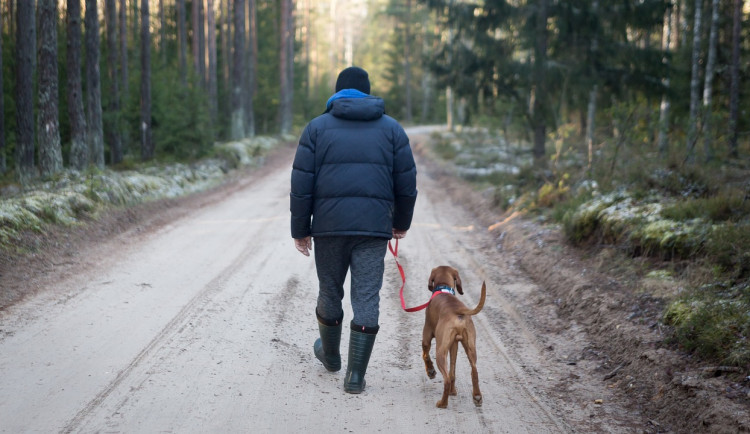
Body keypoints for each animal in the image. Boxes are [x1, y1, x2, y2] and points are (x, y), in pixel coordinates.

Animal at [424, 266, 488, 408]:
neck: (444, 288)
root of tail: (458, 310)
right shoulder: (454, 345)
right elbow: (453, 370)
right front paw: (453, 392)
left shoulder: (426, 335)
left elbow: (425, 355)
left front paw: (430, 371)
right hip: (470, 347)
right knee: (473, 370)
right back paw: (477, 397)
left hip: (441, 351)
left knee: (446, 379)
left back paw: (442, 403)